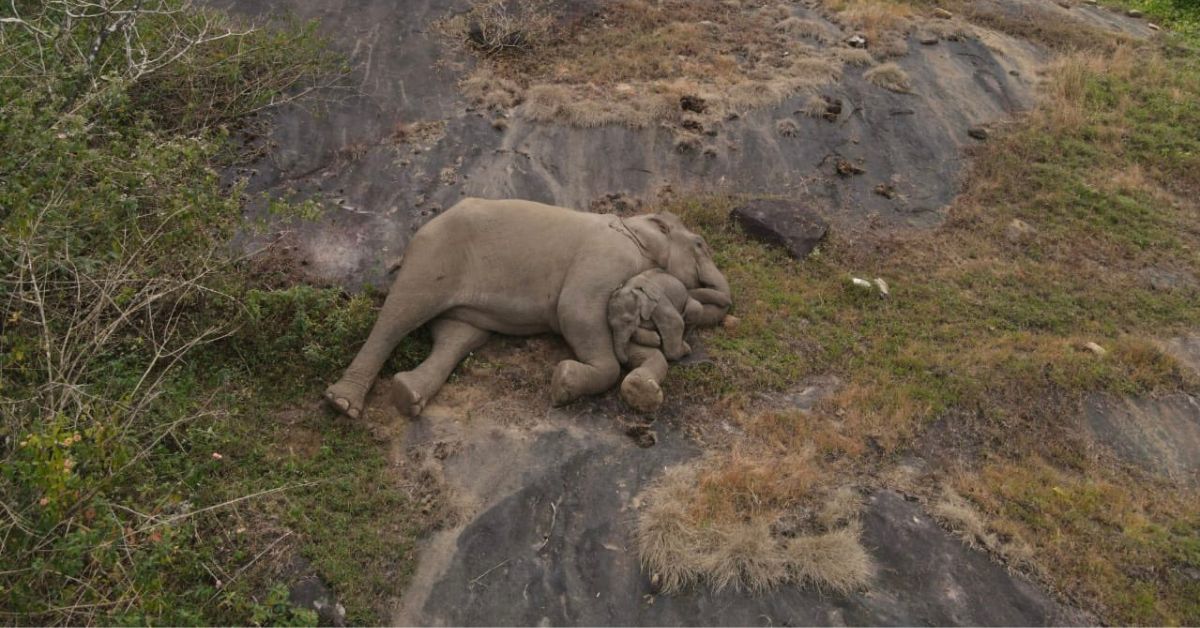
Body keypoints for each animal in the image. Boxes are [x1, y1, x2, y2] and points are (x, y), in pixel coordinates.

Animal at [323, 197, 732, 419]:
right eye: (700, 245)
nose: (686, 348)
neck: (634, 225)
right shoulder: (604, 257)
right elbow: (577, 312)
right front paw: (564, 383)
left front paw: (641, 387)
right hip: (433, 256)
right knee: (399, 314)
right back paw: (343, 404)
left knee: (458, 336)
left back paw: (407, 395)